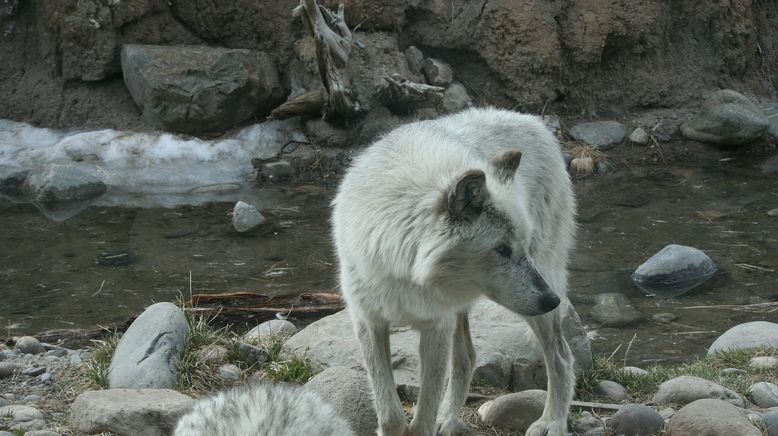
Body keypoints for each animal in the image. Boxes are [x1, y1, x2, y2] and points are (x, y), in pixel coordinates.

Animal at [332, 107, 576, 434]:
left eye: (521, 246)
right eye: (502, 249)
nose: (552, 300)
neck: (405, 268)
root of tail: (532, 120)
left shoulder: (436, 326)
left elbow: (423, 417)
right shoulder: (369, 322)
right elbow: (390, 415)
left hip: (532, 300)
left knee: (561, 356)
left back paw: (551, 422)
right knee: (467, 357)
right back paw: (448, 420)